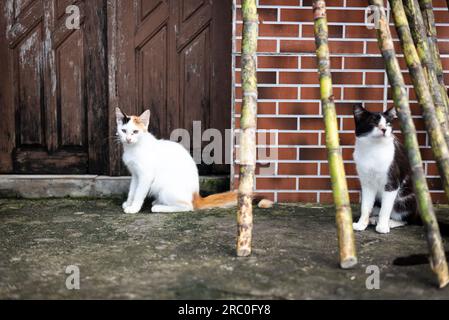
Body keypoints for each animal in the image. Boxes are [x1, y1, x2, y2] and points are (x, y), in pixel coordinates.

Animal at [350, 104, 416, 232]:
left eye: (388, 123)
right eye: (373, 123)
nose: (384, 129)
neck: (374, 148)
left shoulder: (392, 182)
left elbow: (385, 209)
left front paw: (382, 227)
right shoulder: (367, 183)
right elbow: (365, 206)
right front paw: (361, 224)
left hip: (405, 199)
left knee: (406, 219)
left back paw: (390, 222)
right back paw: (373, 219)